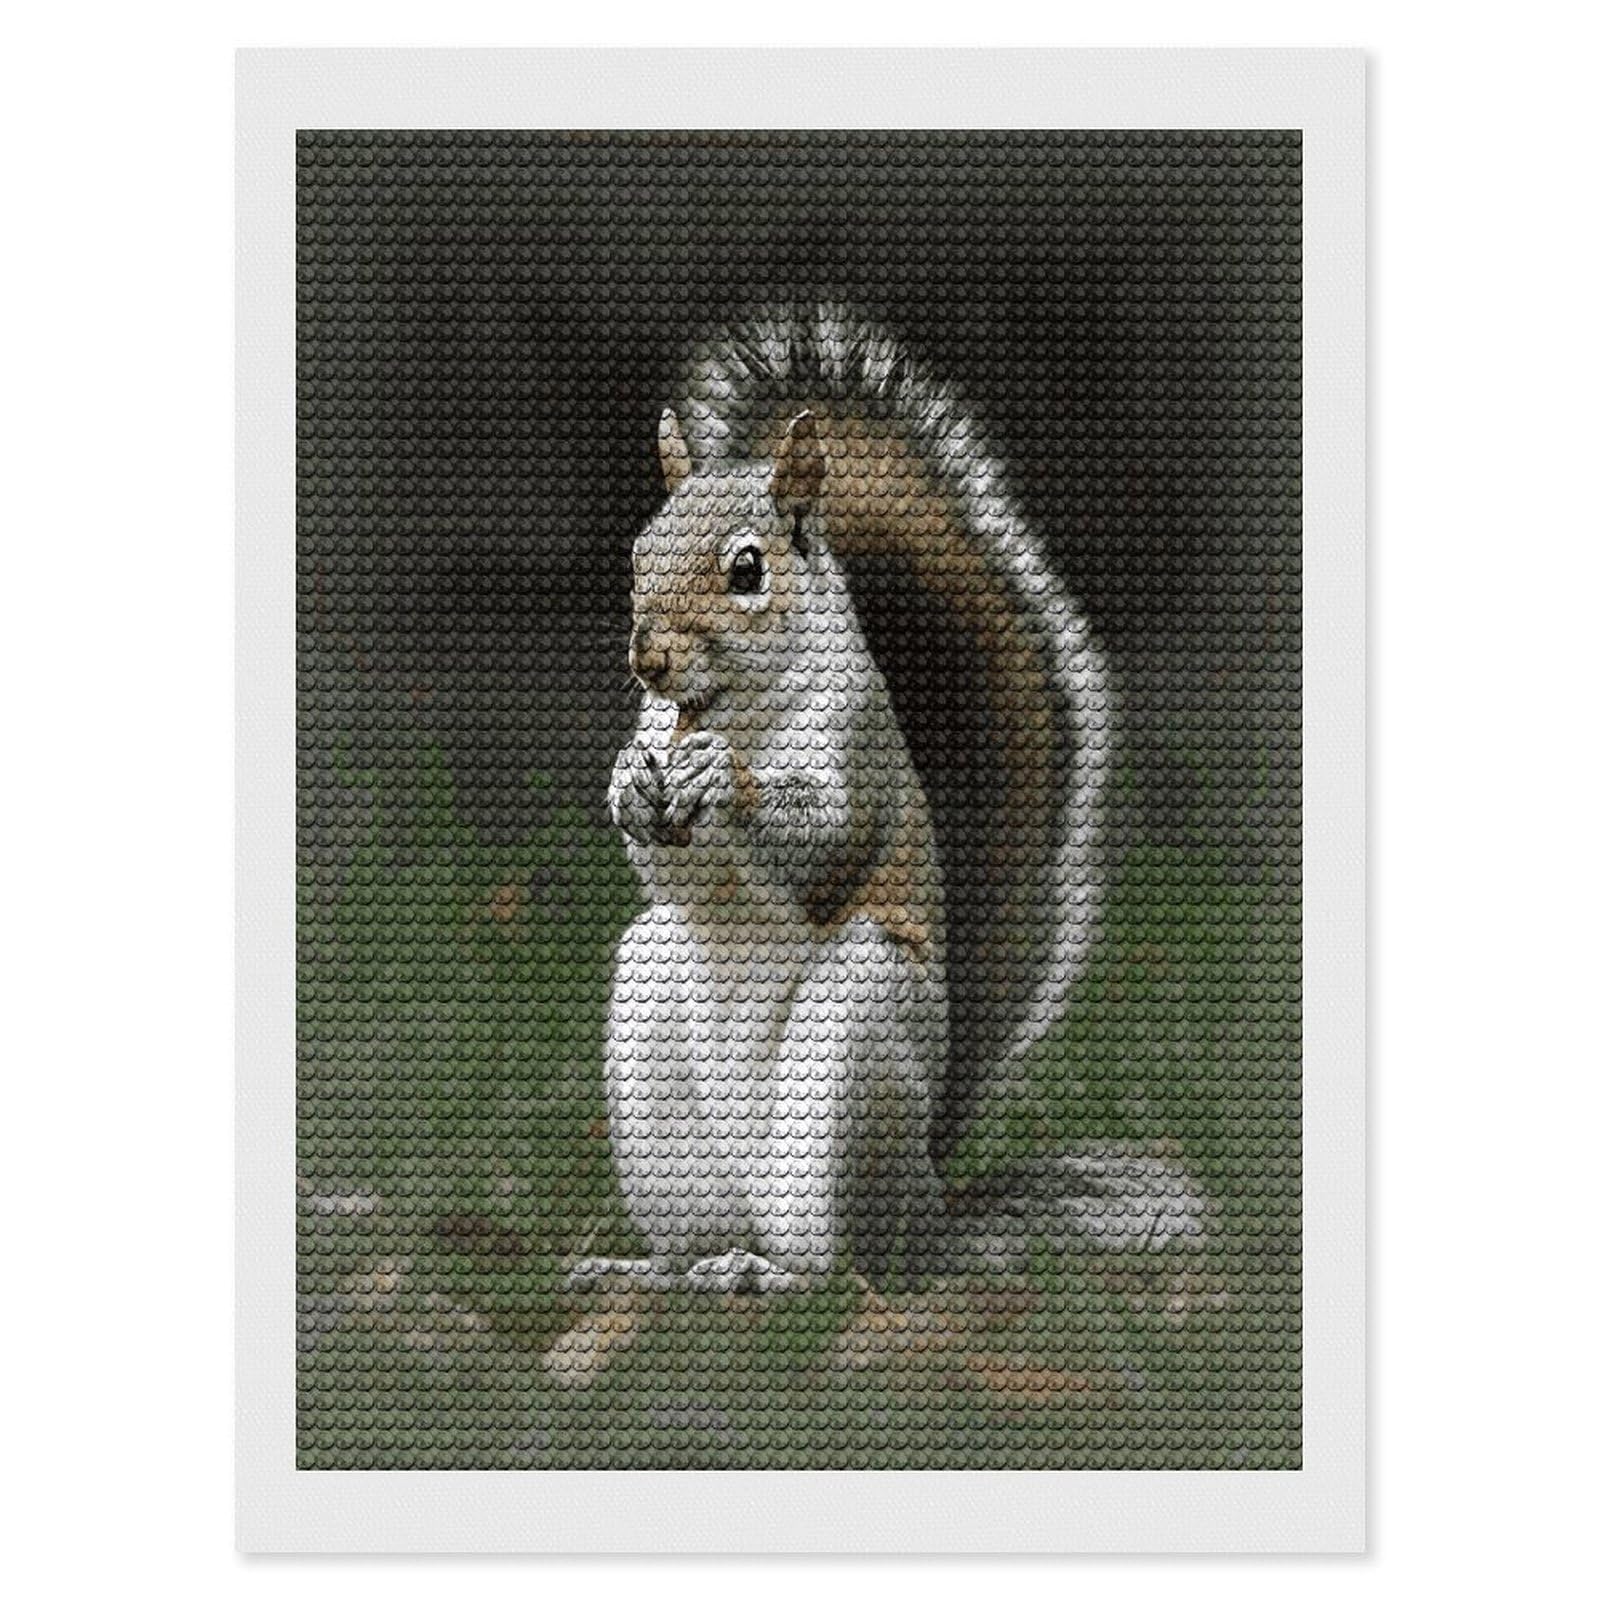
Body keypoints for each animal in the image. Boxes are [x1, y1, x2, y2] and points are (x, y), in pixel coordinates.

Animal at [571, 306, 1204, 1295]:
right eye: (637, 555)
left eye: (746, 571)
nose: (650, 658)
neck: (738, 710)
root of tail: (932, 1205)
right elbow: (669, 866)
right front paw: (630, 784)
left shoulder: (857, 752)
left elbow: (827, 843)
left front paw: (723, 780)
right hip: (657, 1050)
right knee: (701, 1237)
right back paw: (660, 1271)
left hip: (860, 1036)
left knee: (848, 1270)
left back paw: (779, 1274)